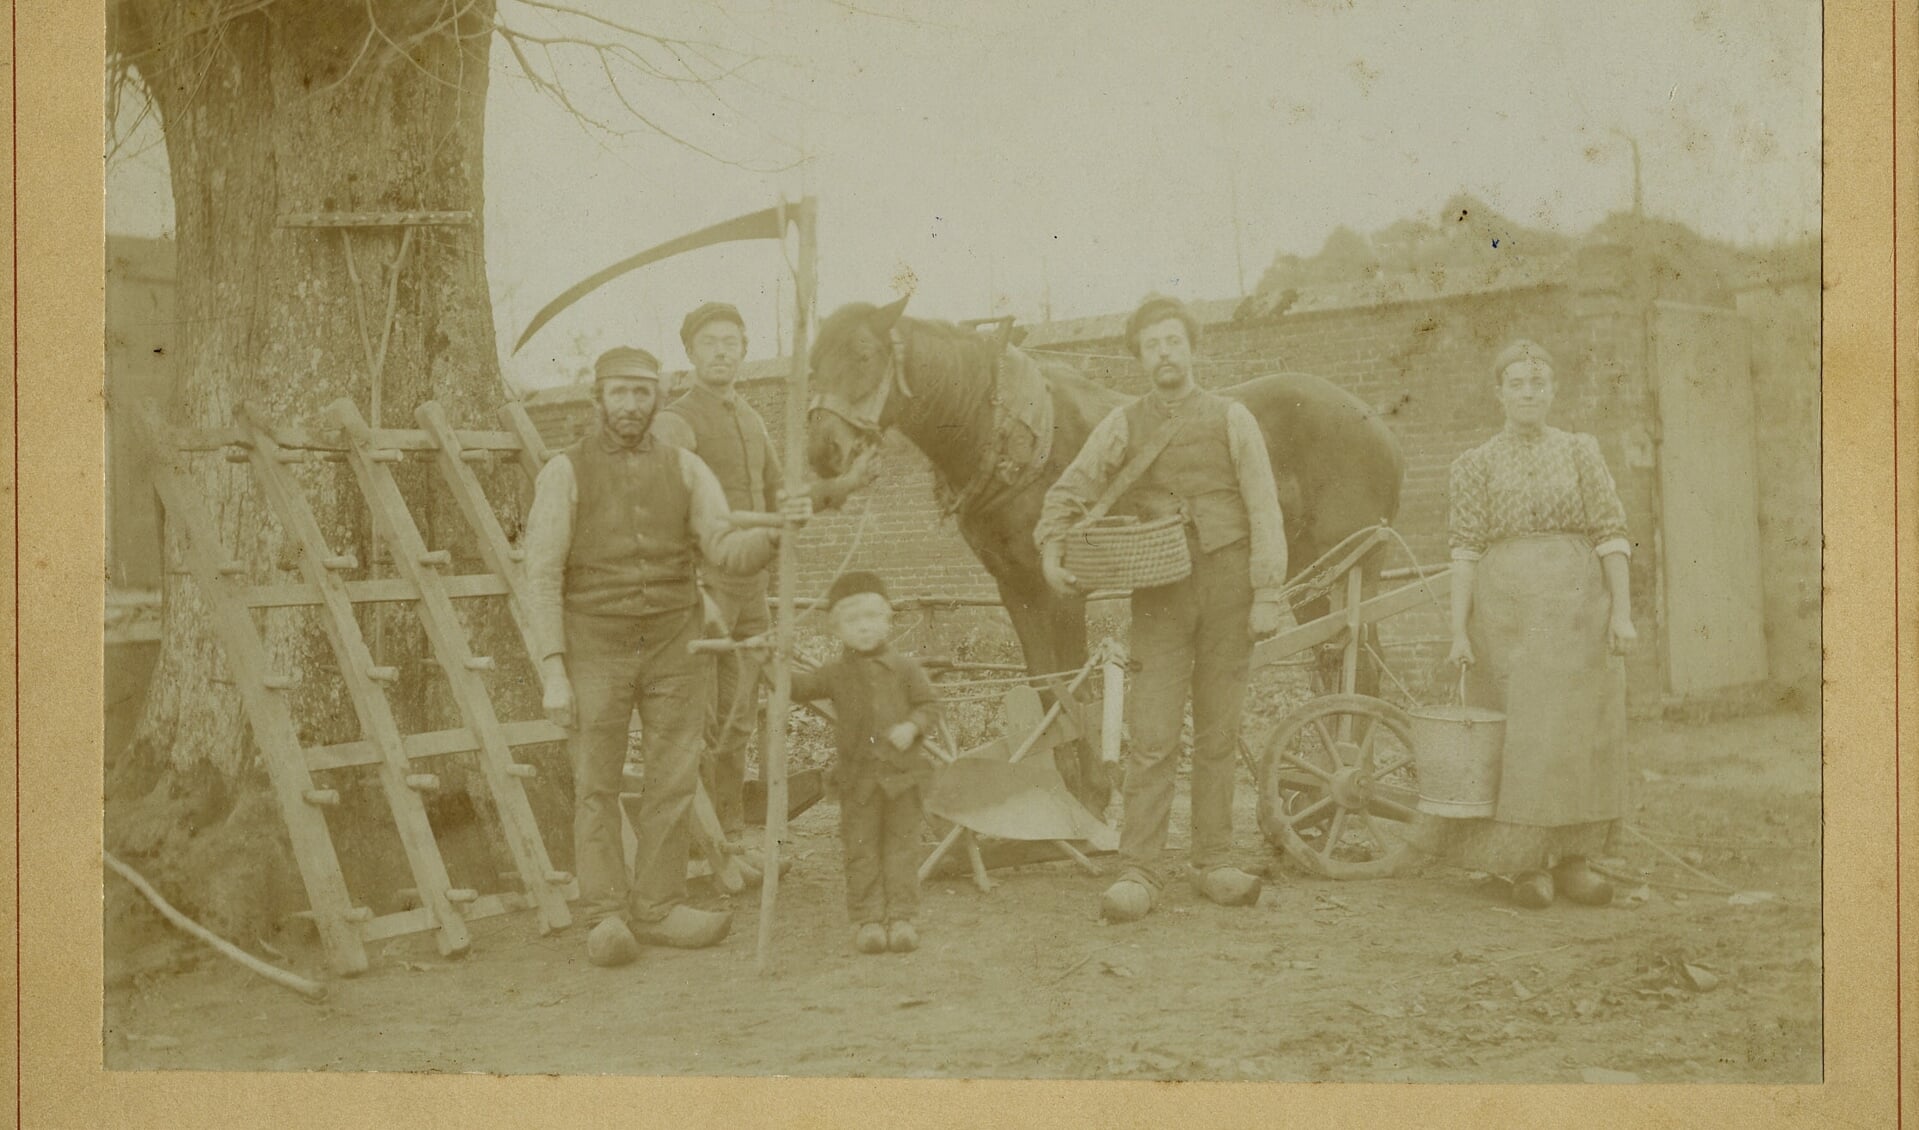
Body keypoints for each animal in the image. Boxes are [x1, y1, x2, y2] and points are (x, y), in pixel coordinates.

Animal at [802, 295, 1404, 813]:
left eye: (863, 354)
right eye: (812, 365)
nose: (823, 451)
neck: (1007, 430)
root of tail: (1374, 422)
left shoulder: (1061, 588)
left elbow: (1077, 687)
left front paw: (1093, 792)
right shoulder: (1015, 587)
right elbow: (1046, 687)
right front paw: (1069, 791)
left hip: (1352, 564)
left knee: (1362, 661)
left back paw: (1350, 778)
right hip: (1312, 570)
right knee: (1333, 657)